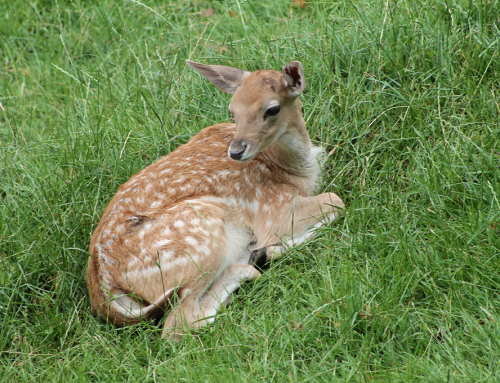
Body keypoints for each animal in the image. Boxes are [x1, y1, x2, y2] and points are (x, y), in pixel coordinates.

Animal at [86, 59, 344, 340]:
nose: (236, 151)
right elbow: (337, 200)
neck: (292, 171)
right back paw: (255, 260)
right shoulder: (271, 208)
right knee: (178, 324)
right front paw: (272, 247)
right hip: (201, 235)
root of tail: (104, 290)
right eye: (233, 110)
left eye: (272, 109)